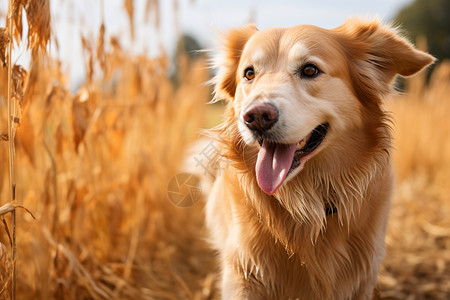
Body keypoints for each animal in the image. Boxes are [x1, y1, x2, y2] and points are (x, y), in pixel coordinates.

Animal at [206, 19, 434, 300]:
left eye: (310, 69)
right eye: (249, 74)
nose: (257, 116)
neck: (305, 201)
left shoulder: (361, 277)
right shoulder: (243, 274)